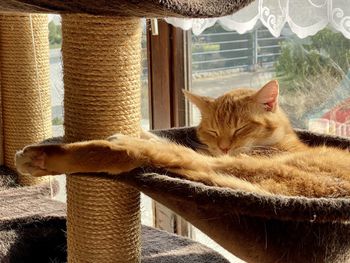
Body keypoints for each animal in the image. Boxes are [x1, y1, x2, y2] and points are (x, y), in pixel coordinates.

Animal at [15, 80, 350, 198]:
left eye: (240, 129)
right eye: (214, 131)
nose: (224, 146)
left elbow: (165, 147)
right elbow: (161, 139)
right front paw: (142, 129)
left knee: (156, 155)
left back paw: (43, 156)